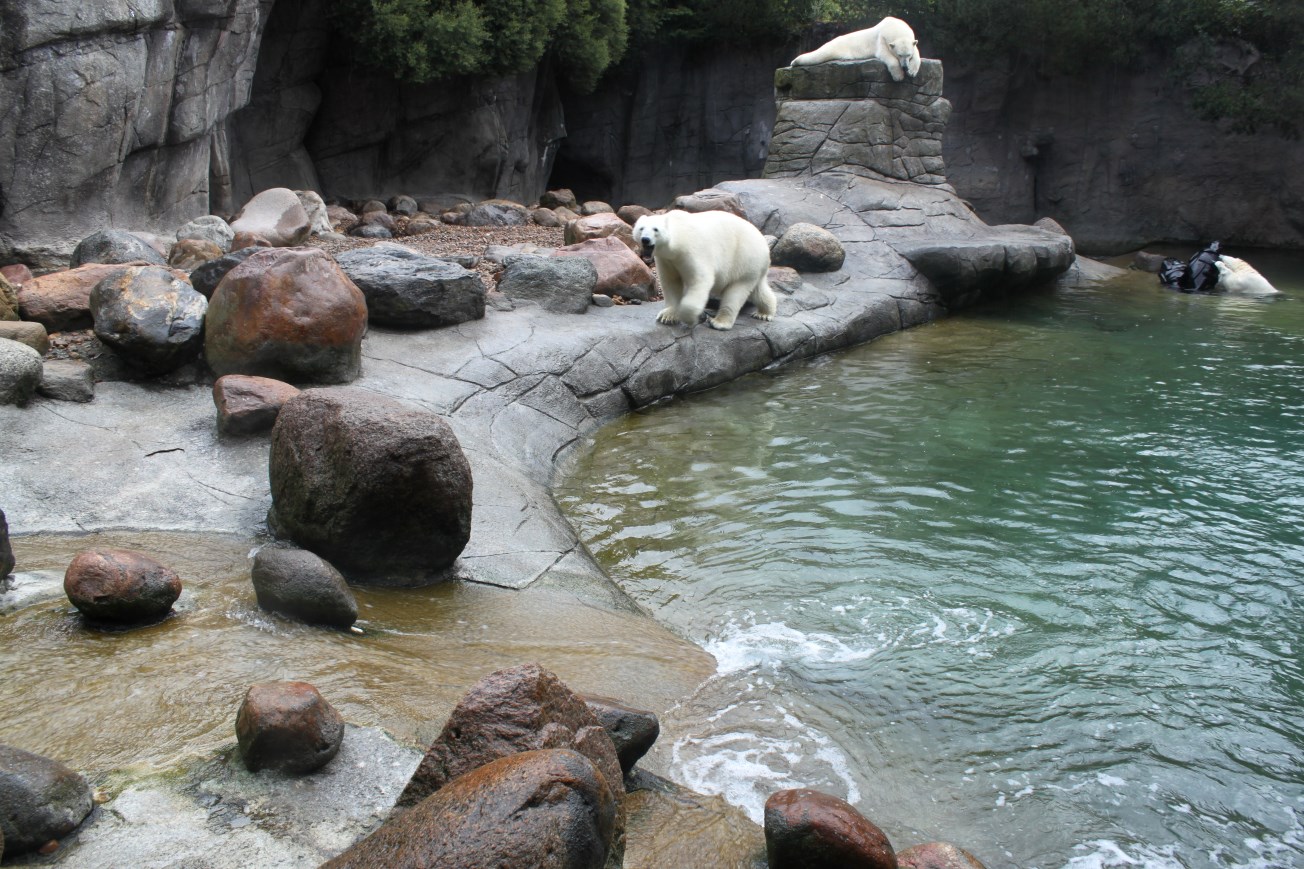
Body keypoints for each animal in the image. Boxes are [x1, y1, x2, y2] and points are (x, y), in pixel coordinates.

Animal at [632, 210, 778, 331]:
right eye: (641, 228)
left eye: (655, 229)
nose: (645, 239)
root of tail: (765, 247)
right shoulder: (666, 260)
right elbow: (671, 282)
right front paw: (668, 316)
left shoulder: (692, 251)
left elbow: (700, 281)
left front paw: (690, 318)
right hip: (753, 267)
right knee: (758, 290)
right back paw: (764, 313)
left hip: (744, 259)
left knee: (735, 294)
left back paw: (719, 322)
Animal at [791, 16, 921, 82]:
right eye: (899, 55)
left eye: (908, 55)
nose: (904, 66)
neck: (895, 27)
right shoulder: (882, 39)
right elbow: (884, 54)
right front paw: (898, 76)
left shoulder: (912, 41)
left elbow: (917, 53)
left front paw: (912, 72)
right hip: (837, 45)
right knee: (820, 53)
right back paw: (794, 62)